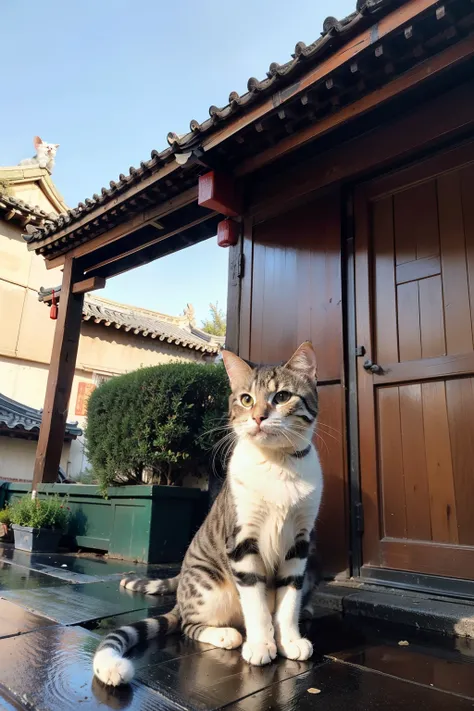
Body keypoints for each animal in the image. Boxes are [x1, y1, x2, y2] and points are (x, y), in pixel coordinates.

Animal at [92, 342, 322, 688]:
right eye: (246, 399)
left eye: (282, 396)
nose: (258, 417)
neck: (277, 464)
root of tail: (180, 598)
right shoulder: (241, 540)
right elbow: (255, 602)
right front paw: (260, 645)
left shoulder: (300, 541)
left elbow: (288, 599)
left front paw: (289, 640)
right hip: (208, 587)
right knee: (188, 625)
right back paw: (226, 635)